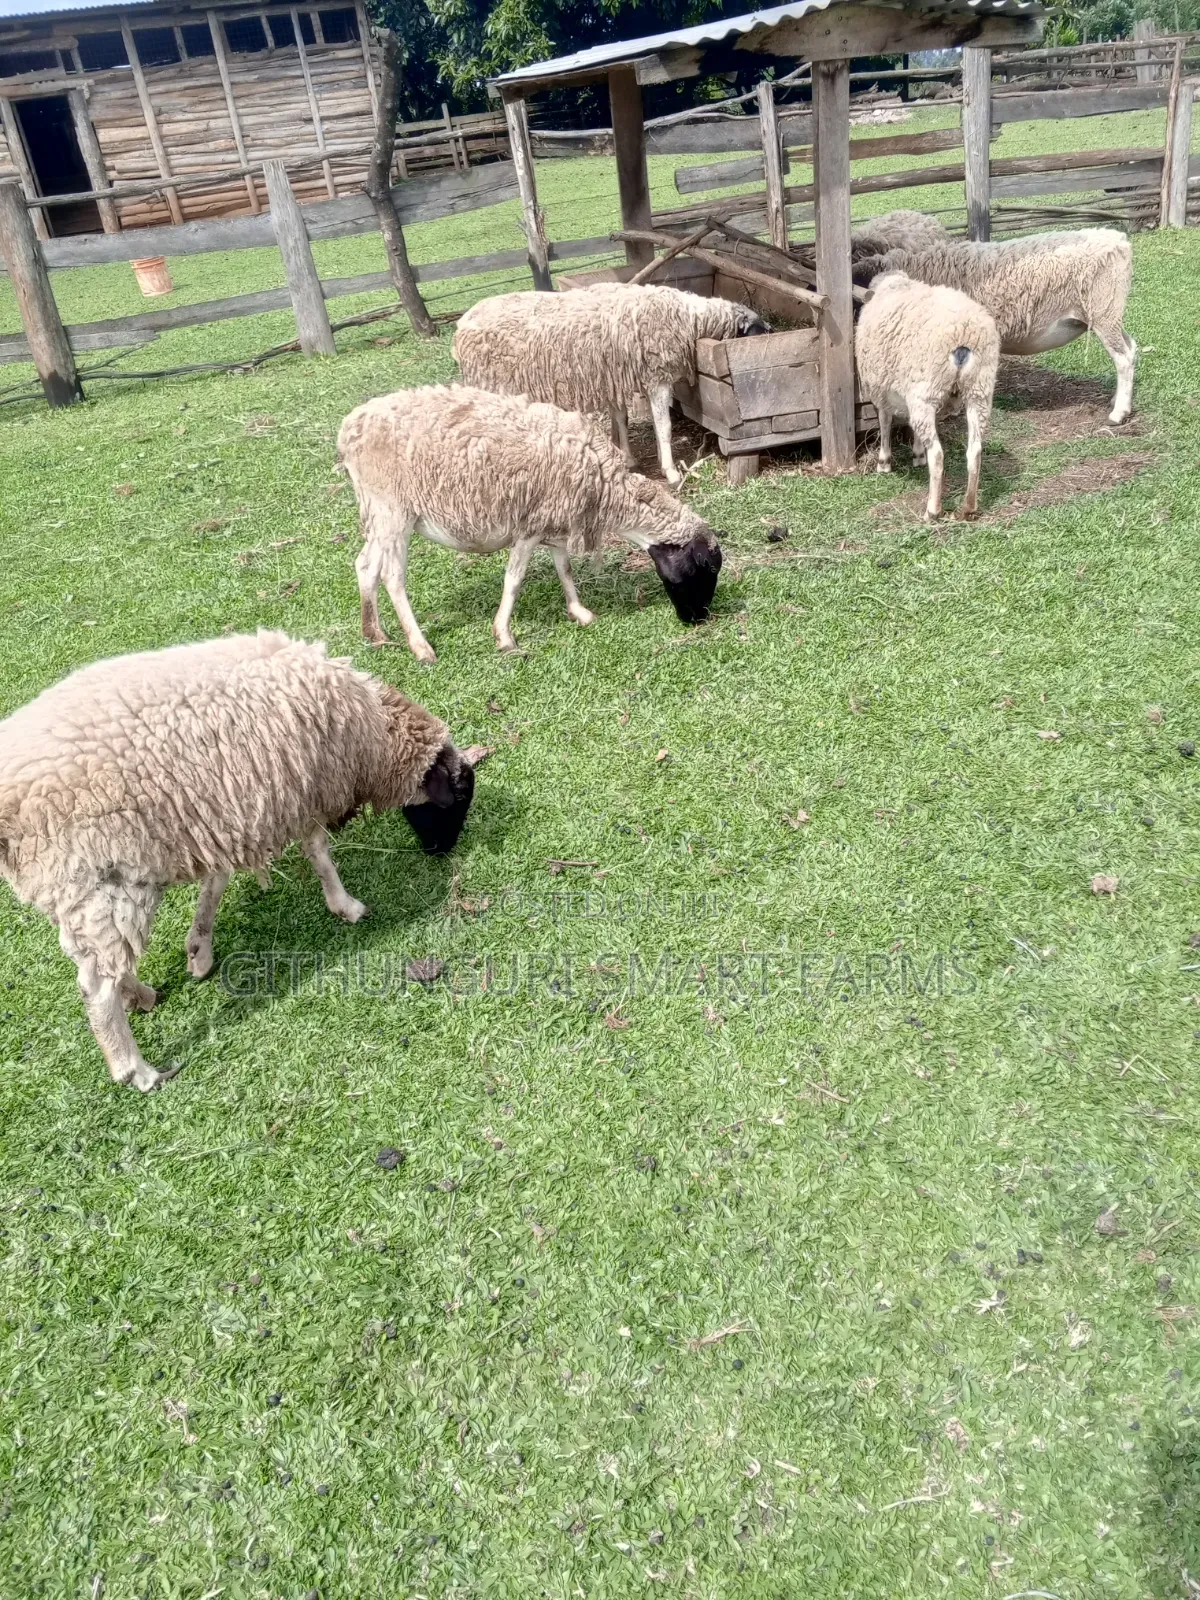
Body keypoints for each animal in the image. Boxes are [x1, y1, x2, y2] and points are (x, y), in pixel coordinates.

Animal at [0, 631, 479, 1091]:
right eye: (457, 799)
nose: (443, 852)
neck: (370, 735)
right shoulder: (298, 794)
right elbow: (319, 854)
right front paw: (345, 905)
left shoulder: (230, 814)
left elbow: (217, 882)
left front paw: (200, 950)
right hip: (100, 878)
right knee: (96, 986)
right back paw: (135, 1069)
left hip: (78, 888)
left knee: (105, 960)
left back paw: (141, 996)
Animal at [338, 384, 723, 661]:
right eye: (705, 568)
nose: (699, 619)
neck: (605, 486)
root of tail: (350, 429)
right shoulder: (530, 526)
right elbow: (514, 580)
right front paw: (504, 637)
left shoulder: (554, 522)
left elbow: (564, 569)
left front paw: (580, 612)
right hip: (393, 510)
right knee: (392, 576)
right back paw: (420, 647)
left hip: (381, 513)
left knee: (365, 565)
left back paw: (374, 633)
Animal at [451, 282, 769, 487]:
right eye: (757, 332)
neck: (688, 318)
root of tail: (460, 328)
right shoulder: (657, 376)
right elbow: (663, 426)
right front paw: (670, 471)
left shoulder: (614, 376)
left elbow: (621, 418)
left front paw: (627, 458)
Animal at [851, 227, 1136, 424]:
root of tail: (1119, 240)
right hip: (1109, 314)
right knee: (1132, 349)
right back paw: (1118, 399)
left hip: (1103, 311)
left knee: (1122, 358)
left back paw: (1118, 413)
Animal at [856, 270, 1000, 520]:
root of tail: (963, 336)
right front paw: (917, 454)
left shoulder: (880, 388)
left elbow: (884, 421)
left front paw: (884, 462)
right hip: (978, 390)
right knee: (975, 450)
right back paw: (969, 506)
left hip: (926, 390)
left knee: (938, 455)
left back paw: (933, 509)